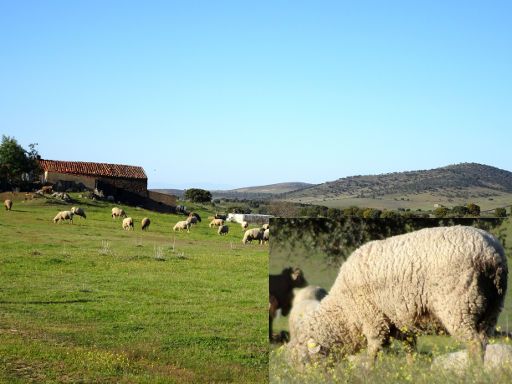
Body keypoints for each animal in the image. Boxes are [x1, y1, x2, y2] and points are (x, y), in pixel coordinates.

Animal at [286, 226, 506, 368]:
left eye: (304, 362)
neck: (344, 311)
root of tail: (490, 253)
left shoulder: (373, 318)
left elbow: (374, 350)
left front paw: (369, 372)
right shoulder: (402, 324)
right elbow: (411, 351)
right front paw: (411, 370)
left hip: (459, 305)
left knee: (474, 343)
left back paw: (473, 372)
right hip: (491, 309)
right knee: (483, 341)